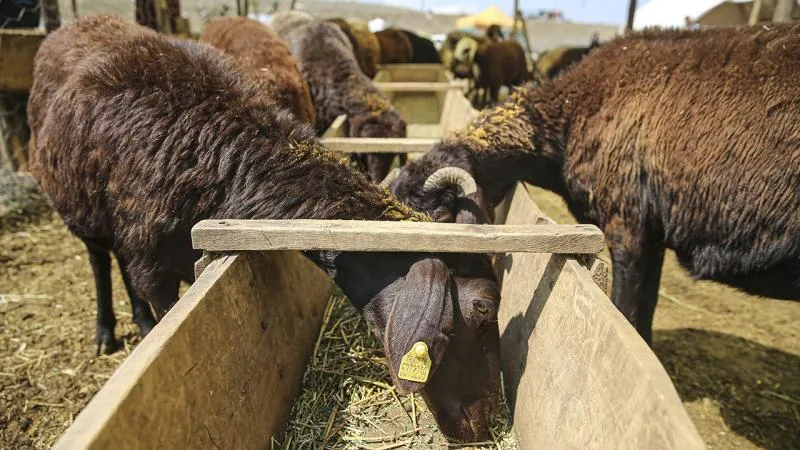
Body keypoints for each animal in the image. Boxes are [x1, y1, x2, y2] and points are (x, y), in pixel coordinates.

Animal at [388, 22, 800, 342]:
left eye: (443, 215)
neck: (572, 115)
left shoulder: (627, 228)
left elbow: (627, 312)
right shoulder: (652, 236)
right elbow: (645, 314)